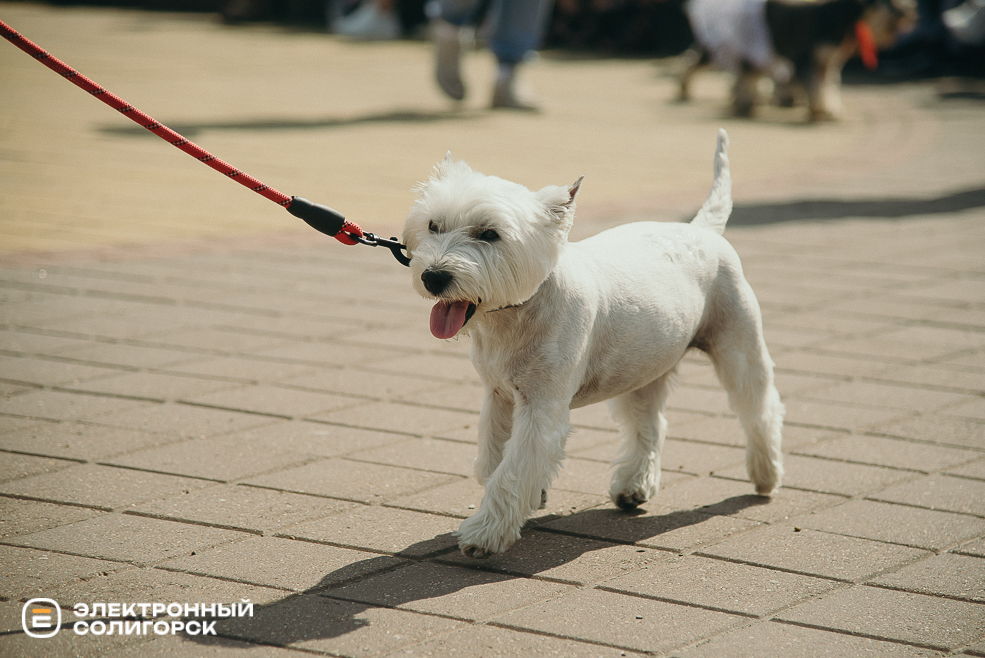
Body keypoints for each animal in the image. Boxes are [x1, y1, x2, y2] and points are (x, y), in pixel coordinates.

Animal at [402, 129, 784, 552]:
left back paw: (765, 474)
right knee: (650, 424)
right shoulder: (498, 395)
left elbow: (512, 470)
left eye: (489, 234)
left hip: (738, 346)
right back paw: (634, 486)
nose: (433, 277)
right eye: (433, 225)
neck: (513, 315)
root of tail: (703, 228)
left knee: (759, 408)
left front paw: (484, 533)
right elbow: (491, 461)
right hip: (642, 366)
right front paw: (531, 499)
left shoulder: (542, 406)